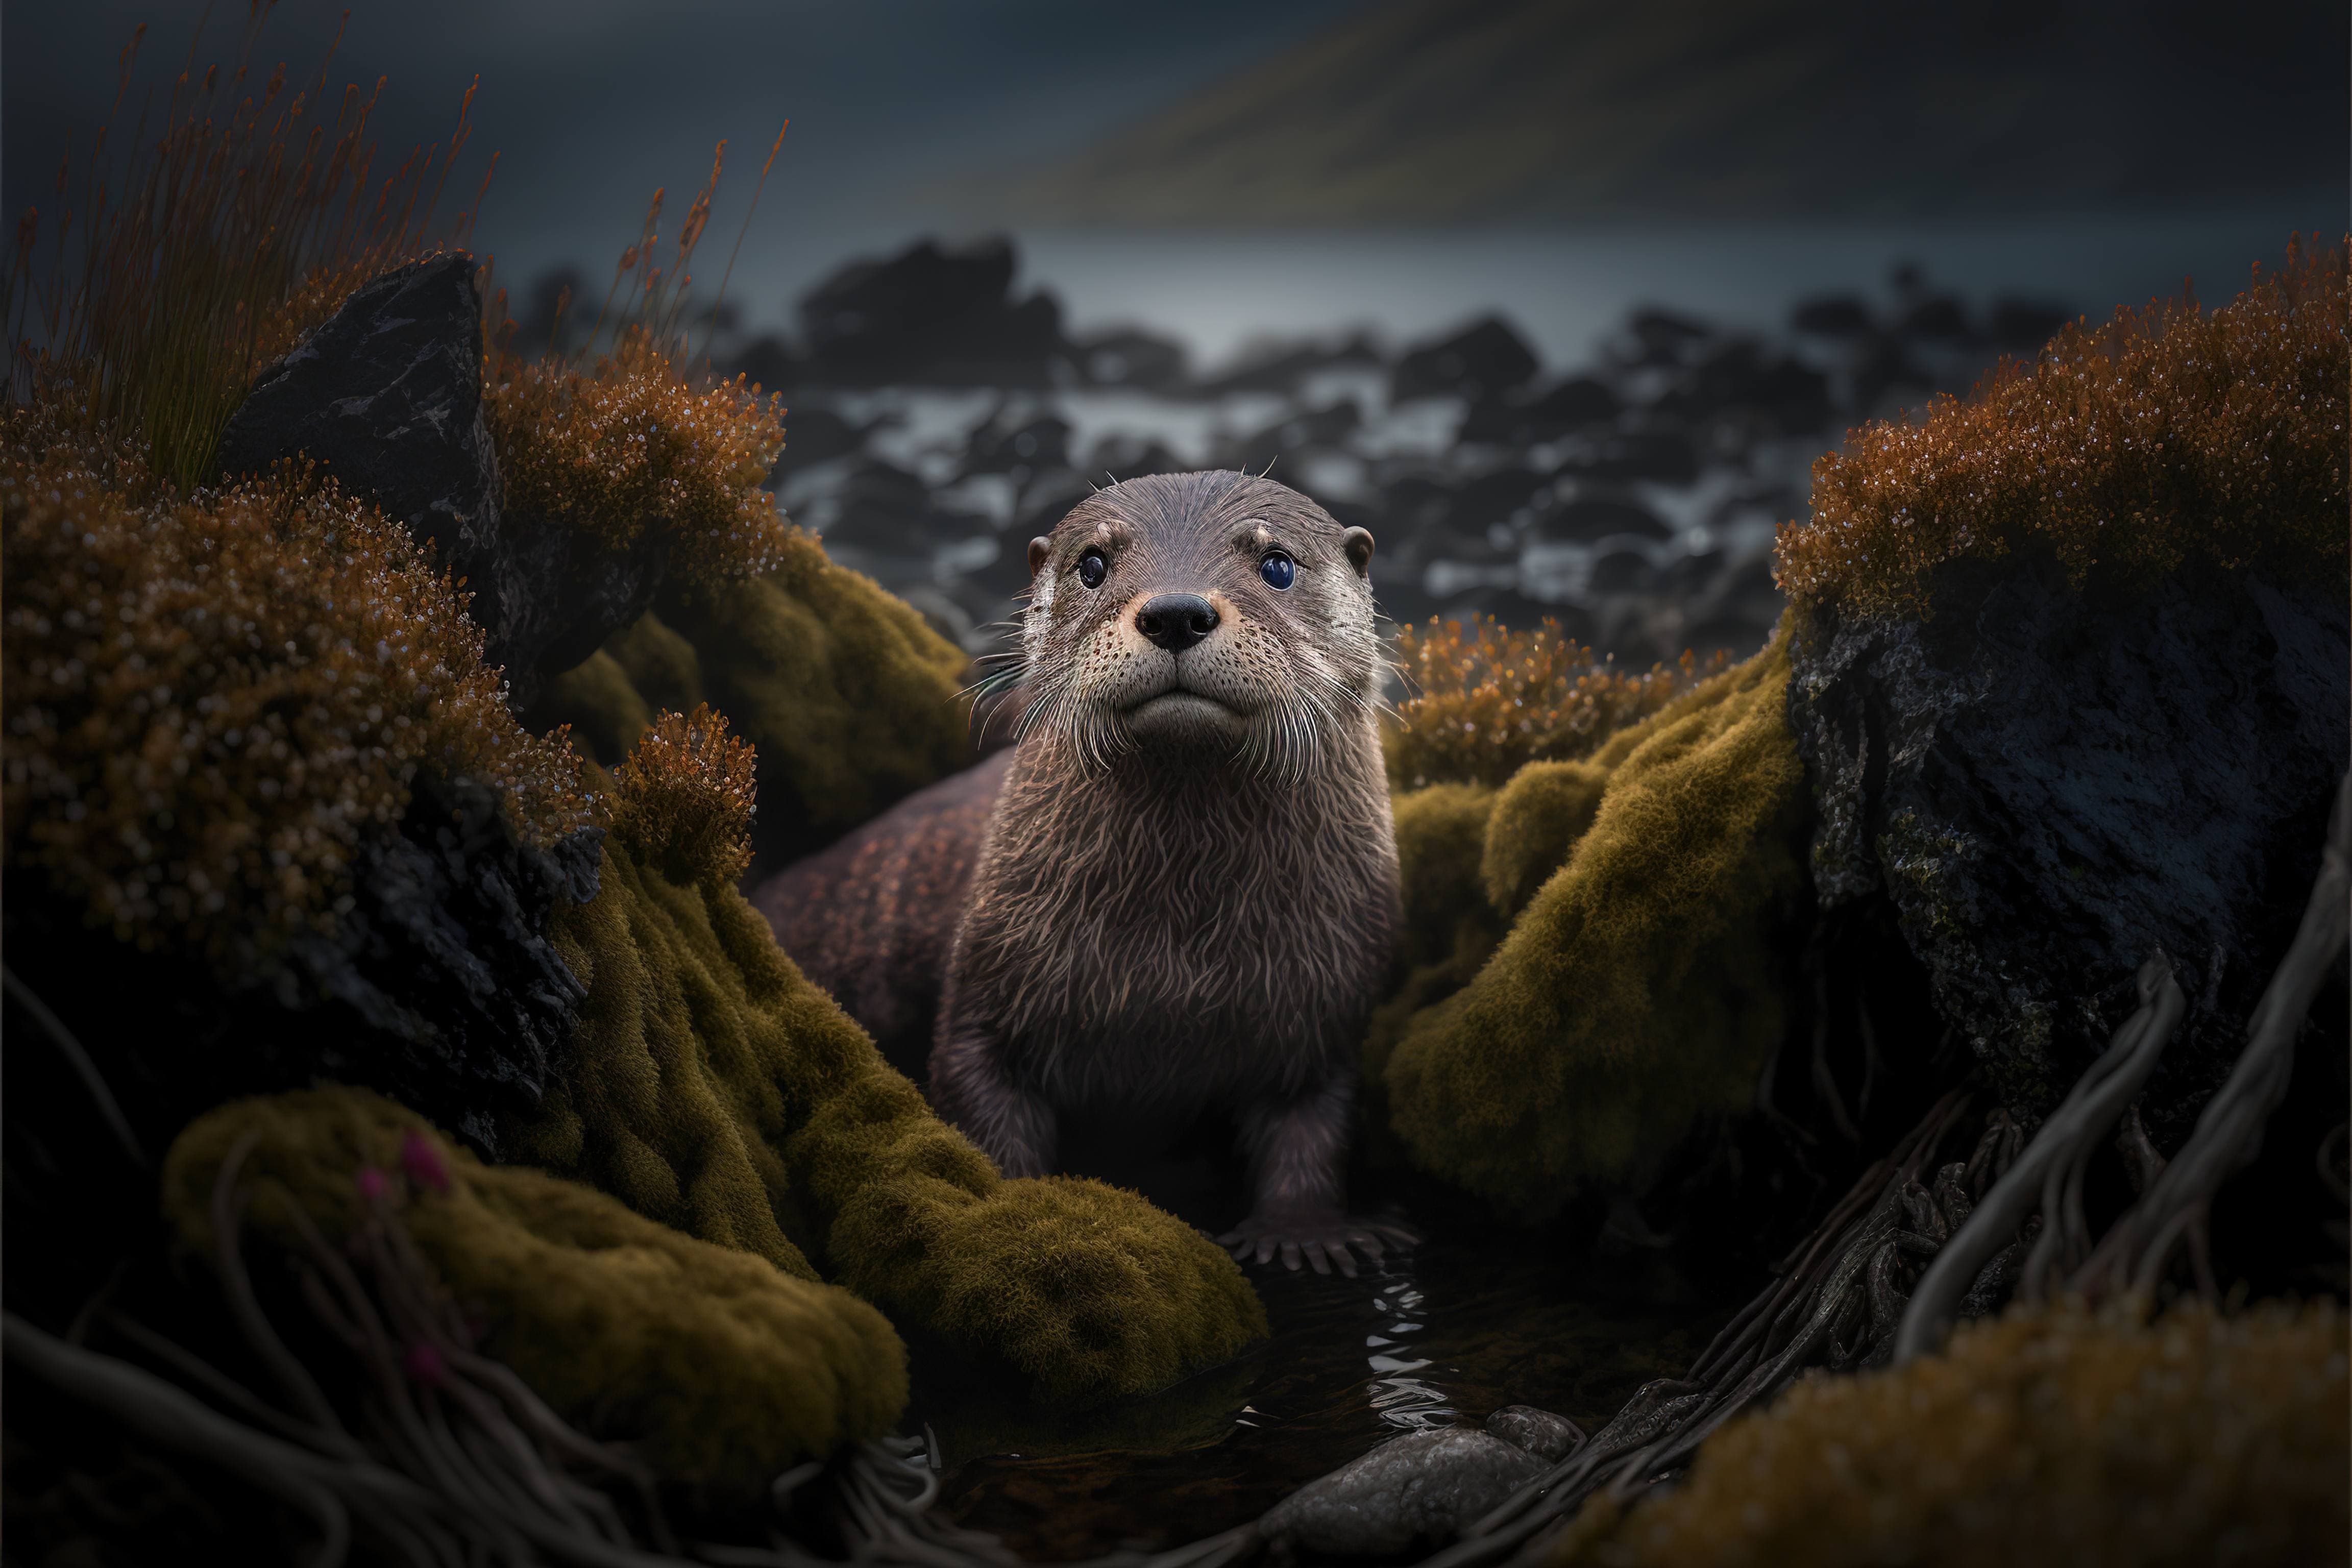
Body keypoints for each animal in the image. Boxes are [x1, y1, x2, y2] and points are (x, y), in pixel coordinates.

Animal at [928, 471, 1409, 1276]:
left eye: (1277, 564)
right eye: (1093, 565)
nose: (1177, 612)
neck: (1177, 965)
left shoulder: (1328, 1005)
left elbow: (1312, 1119)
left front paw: (1306, 1234)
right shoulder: (983, 999)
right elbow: (983, 1107)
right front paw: (1024, 1217)